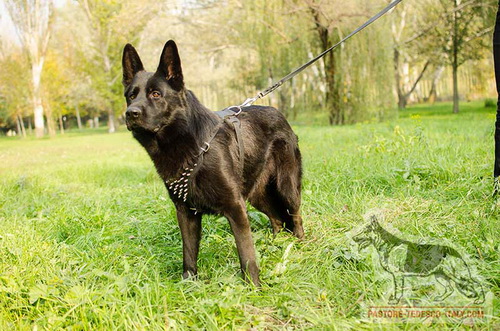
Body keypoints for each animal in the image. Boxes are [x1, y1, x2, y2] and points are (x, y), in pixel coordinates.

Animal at [122, 40, 300, 286]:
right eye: (131, 95)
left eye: (156, 94)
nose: (131, 113)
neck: (193, 145)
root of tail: (280, 115)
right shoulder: (186, 213)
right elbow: (189, 254)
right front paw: (188, 285)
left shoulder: (235, 207)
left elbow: (246, 255)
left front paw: (254, 287)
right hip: (257, 194)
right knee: (277, 219)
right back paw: (275, 244)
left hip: (286, 187)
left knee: (295, 216)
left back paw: (302, 247)